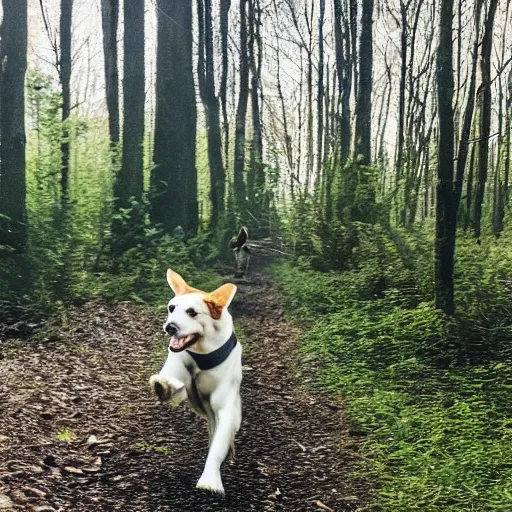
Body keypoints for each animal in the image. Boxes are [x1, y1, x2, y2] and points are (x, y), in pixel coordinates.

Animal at [149, 270, 243, 494]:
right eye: (171, 308)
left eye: (192, 312)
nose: (170, 327)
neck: (202, 355)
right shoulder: (179, 369)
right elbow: (171, 381)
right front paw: (163, 386)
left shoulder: (224, 408)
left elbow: (218, 446)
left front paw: (210, 480)